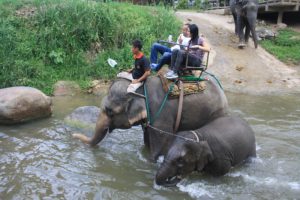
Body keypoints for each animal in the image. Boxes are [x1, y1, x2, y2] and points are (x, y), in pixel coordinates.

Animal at [72, 76, 227, 160]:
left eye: (110, 111)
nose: (73, 136)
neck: (140, 90)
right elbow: (147, 138)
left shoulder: (161, 116)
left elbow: (160, 141)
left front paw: (150, 161)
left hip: (214, 114)